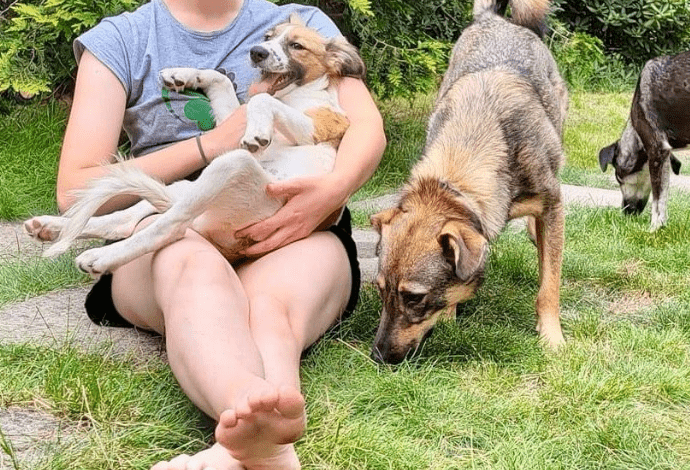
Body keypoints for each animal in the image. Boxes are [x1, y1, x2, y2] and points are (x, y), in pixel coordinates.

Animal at [23, 15, 362, 276]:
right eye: (267, 37)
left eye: (296, 46)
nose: (256, 52)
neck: (295, 93)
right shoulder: (232, 121)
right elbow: (224, 82)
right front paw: (184, 74)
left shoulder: (319, 126)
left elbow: (262, 100)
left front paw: (257, 129)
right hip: (186, 185)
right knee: (126, 221)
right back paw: (52, 227)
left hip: (234, 169)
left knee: (168, 226)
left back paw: (103, 257)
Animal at [368, 0, 568, 364]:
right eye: (380, 290)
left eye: (414, 297)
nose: (377, 356)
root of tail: (493, 19)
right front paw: (450, 315)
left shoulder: (551, 204)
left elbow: (549, 286)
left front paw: (552, 338)